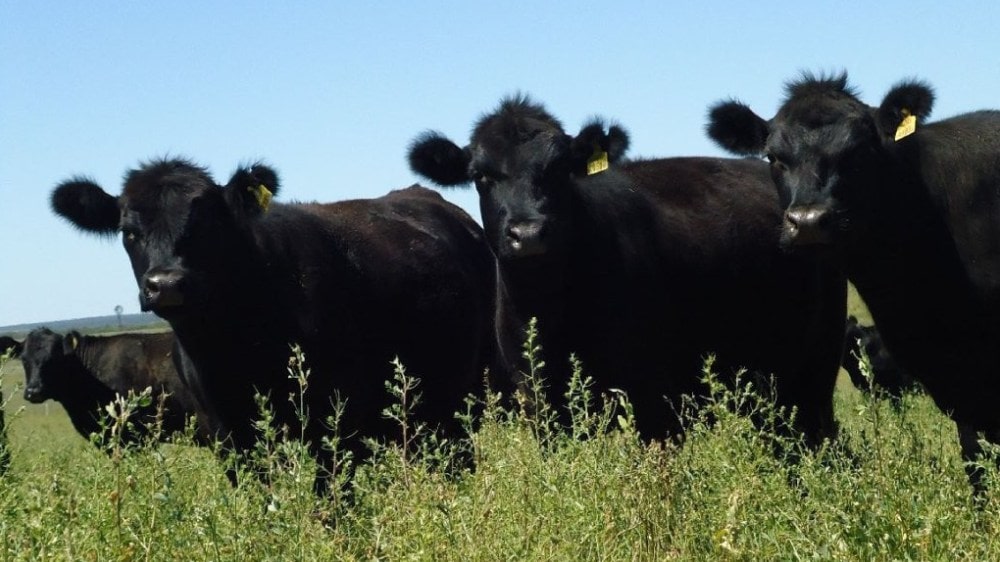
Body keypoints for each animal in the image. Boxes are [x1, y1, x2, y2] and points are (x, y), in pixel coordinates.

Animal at [50, 159, 496, 494]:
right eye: (129, 232)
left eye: (207, 225)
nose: (167, 283)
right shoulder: (227, 439)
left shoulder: (336, 427)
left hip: (463, 398)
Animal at [410, 96, 848, 446]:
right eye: (481, 175)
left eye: (560, 169)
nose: (529, 233)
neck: (551, 309)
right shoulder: (541, 408)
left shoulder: (653, 402)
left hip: (815, 369)